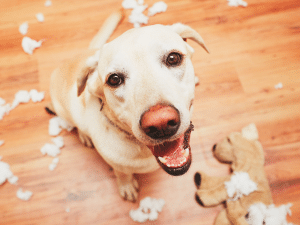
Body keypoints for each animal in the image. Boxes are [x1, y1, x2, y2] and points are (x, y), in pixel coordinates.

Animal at [48, 10, 210, 201]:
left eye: (173, 58)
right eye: (114, 79)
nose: (160, 123)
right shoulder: (117, 165)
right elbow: (122, 174)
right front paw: (126, 185)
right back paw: (83, 135)